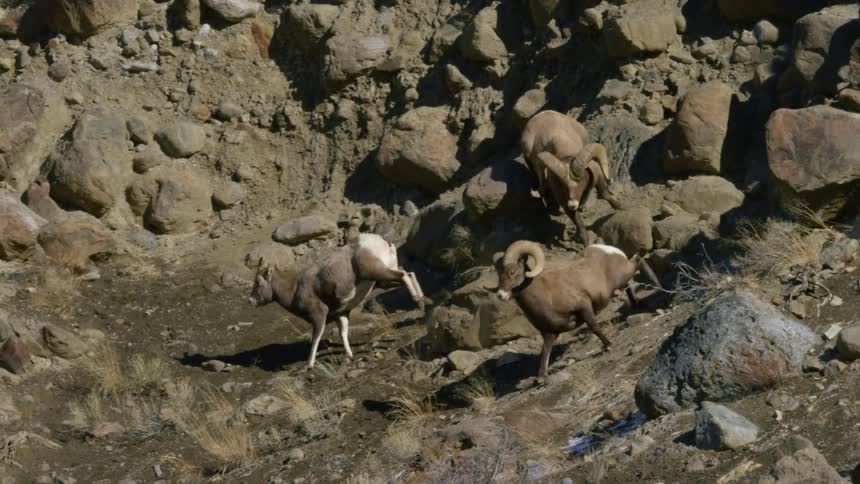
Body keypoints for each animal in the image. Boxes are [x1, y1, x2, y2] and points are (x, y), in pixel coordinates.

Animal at [249, 233, 425, 368]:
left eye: (258, 282)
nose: (251, 301)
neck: (295, 290)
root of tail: (382, 242)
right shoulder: (342, 314)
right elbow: (343, 333)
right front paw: (349, 356)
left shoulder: (319, 316)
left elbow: (316, 338)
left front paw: (309, 365)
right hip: (383, 281)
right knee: (409, 273)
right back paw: (422, 300)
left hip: (377, 273)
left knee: (403, 275)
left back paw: (417, 298)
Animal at [490, 240, 661, 379]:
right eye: (499, 275)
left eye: (512, 272)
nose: (500, 295)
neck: (545, 295)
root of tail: (608, 250)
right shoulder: (549, 333)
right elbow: (545, 351)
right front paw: (541, 377)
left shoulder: (584, 307)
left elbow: (594, 327)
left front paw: (608, 346)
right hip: (621, 281)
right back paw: (637, 303)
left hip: (622, 274)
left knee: (638, 260)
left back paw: (657, 286)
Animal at [521, 110, 622, 244]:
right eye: (562, 184)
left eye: (580, 180)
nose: (572, 204)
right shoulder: (563, 201)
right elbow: (578, 223)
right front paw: (585, 242)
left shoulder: (598, 177)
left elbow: (605, 194)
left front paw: (621, 208)